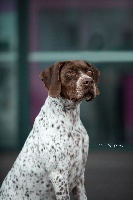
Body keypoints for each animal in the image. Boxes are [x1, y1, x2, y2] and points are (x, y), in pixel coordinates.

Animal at [0, 60, 100, 199]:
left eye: (89, 72)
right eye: (70, 72)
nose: (89, 81)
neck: (71, 119)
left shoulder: (79, 176)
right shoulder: (59, 174)